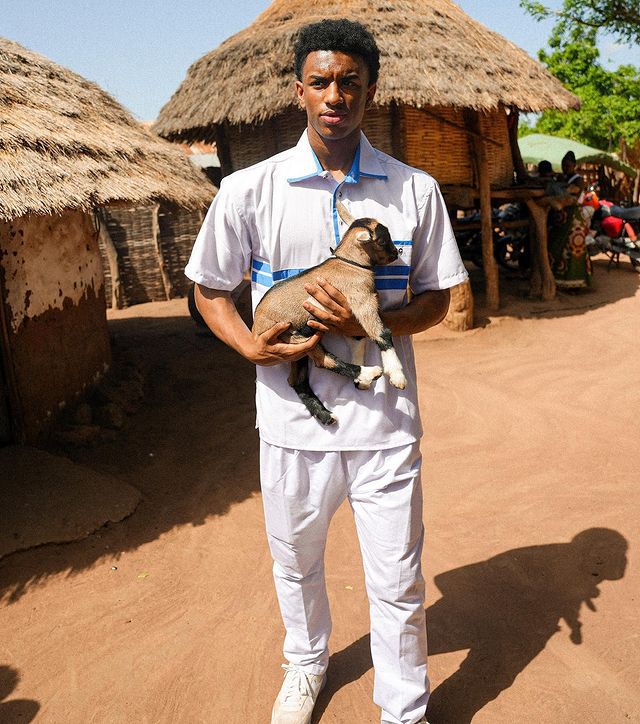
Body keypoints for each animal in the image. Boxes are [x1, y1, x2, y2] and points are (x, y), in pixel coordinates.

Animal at [250, 201, 404, 428]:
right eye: (383, 239)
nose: (395, 253)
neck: (349, 263)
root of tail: (254, 331)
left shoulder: (351, 315)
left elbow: (358, 339)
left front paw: (360, 382)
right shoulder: (362, 300)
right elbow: (381, 333)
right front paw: (396, 375)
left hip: (296, 348)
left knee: (298, 380)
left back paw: (326, 414)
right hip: (293, 337)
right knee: (323, 361)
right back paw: (369, 373)